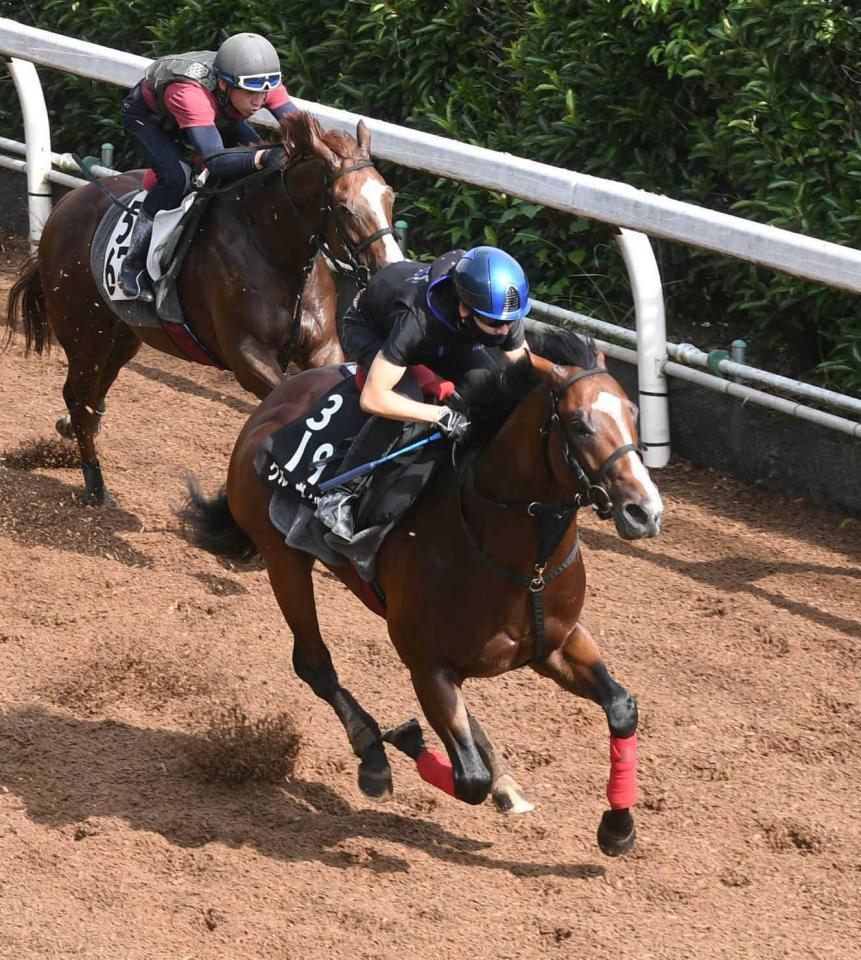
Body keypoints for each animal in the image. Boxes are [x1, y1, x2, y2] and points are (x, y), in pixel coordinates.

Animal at [5, 111, 402, 502]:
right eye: (344, 208)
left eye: (390, 196)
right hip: (84, 330)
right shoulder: (246, 355)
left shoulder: (323, 347)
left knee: (94, 389)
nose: (390, 270)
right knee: (79, 394)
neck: (271, 247)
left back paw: (71, 431)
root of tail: (66, 206)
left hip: (123, 334)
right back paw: (95, 482)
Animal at [181, 336, 664, 856]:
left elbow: (622, 708)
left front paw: (617, 827)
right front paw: (407, 738)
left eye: (634, 412)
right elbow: (467, 778)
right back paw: (373, 753)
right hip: (283, 560)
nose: (644, 512)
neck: (519, 560)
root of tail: (271, 404)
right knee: (313, 664)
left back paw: (502, 779)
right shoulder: (427, 665)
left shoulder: (557, 644)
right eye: (578, 424)